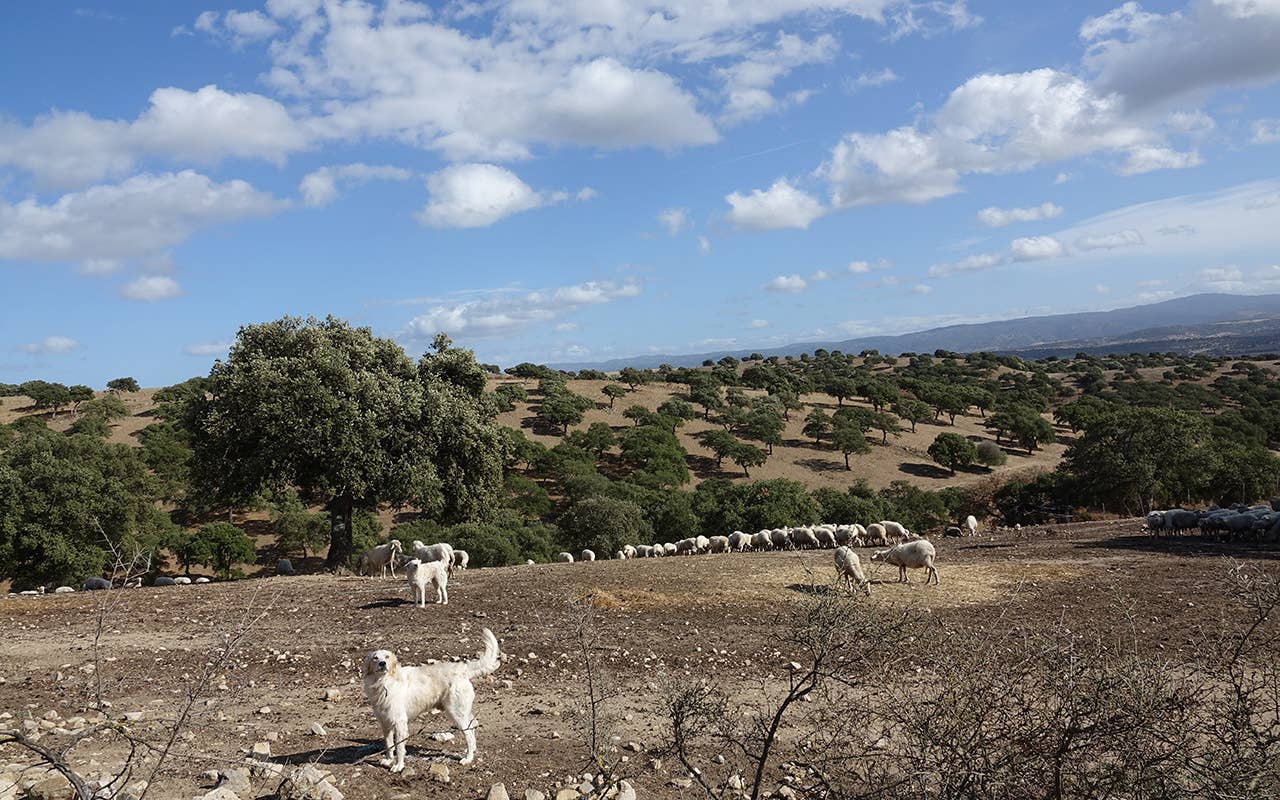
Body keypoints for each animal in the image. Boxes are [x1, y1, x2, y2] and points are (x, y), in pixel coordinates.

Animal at [363, 629, 501, 768]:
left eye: (387, 657)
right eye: (375, 658)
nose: (382, 663)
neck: (383, 682)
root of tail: (462, 669)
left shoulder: (399, 722)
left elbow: (399, 747)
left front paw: (399, 765)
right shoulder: (385, 723)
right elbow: (389, 744)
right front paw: (389, 760)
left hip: (456, 713)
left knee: (469, 736)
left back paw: (468, 758)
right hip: (462, 712)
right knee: (472, 729)